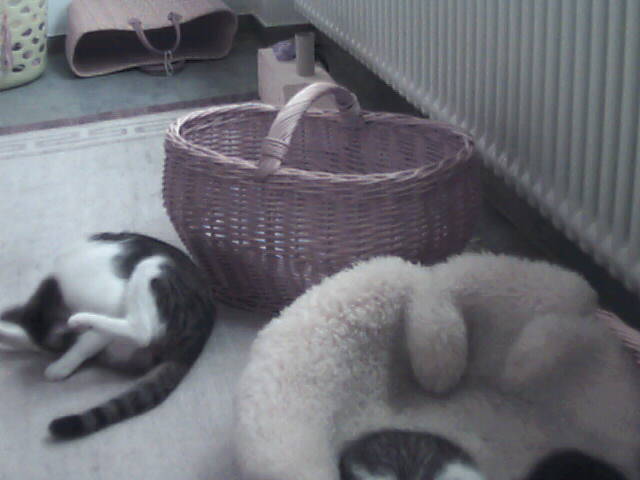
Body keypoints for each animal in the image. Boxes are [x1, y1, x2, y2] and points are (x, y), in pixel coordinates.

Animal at [0, 232, 216, 439]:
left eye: (63, 343)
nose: (57, 353)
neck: (58, 289)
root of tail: (203, 329)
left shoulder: (112, 305)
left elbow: (87, 341)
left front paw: (62, 365)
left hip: (154, 266)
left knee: (141, 332)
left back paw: (82, 320)